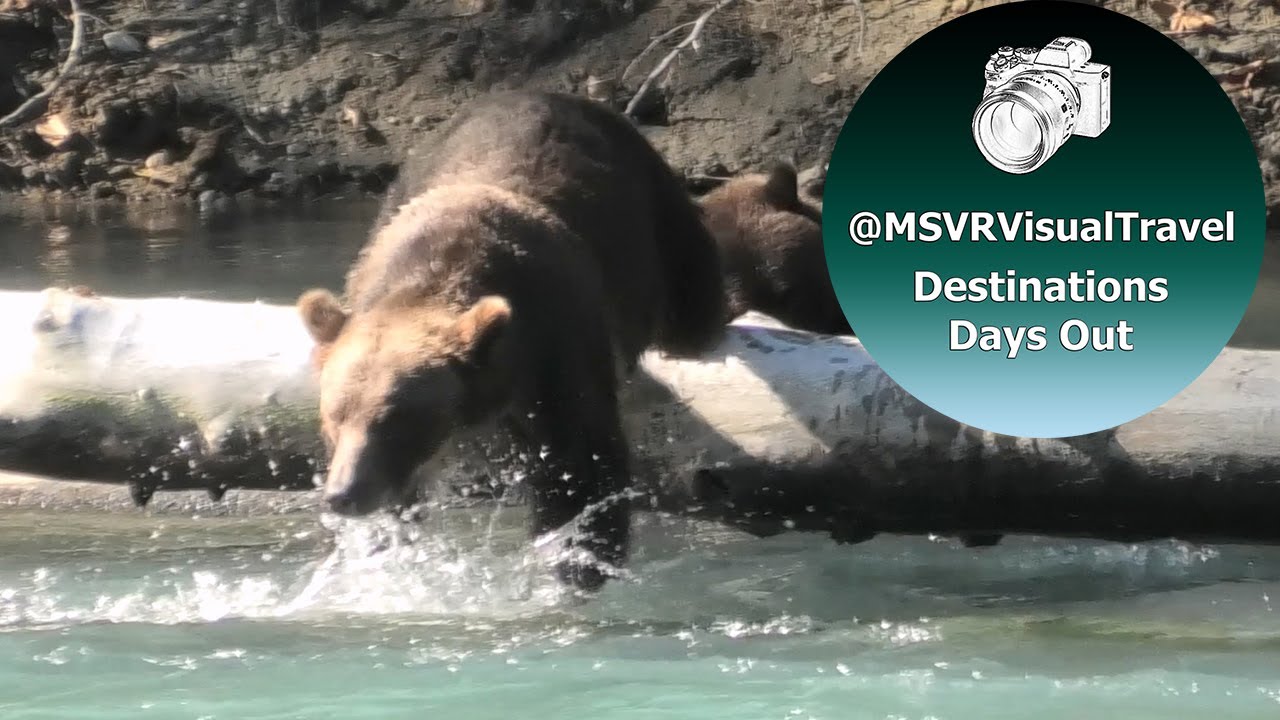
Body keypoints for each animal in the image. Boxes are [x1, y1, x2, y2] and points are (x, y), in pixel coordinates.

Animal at [295, 91, 728, 592]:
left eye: (396, 419)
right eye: (333, 417)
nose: (344, 494)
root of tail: (542, 92)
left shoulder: (556, 341)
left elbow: (581, 465)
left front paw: (578, 563)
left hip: (657, 218)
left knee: (695, 293)